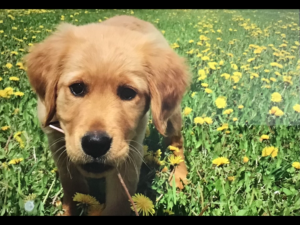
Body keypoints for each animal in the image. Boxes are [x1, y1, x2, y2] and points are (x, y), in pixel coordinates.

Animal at [25, 14, 190, 215]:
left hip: (171, 117)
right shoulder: (57, 142)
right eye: (77, 88)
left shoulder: (129, 152)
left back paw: (179, 176)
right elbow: (72, 184)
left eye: (128, 93)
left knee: (176, 143)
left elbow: (119, 202)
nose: (96, 144)